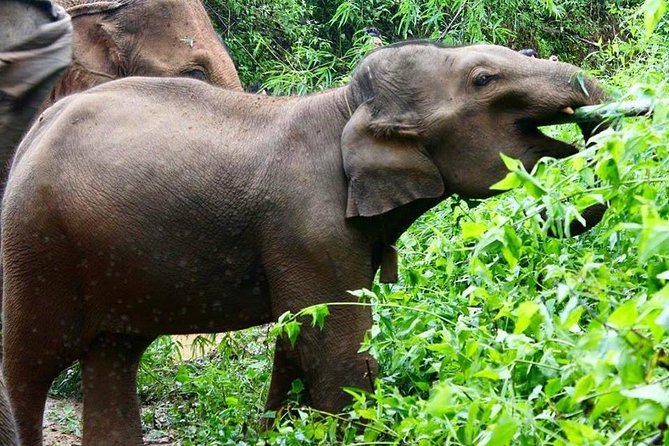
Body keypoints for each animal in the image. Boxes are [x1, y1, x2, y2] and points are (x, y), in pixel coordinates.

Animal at [2, 41, 605, 445]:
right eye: (484, 79)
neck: (344, 106)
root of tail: (34, 132)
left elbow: (296, 338)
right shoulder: (308, 226)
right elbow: (333, 344)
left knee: (114, 356)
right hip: (35, 244)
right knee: (29, 363)